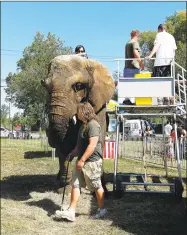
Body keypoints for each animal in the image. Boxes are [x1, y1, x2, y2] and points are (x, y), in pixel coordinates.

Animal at [41, 55, 114, 193]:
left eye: (79, 86)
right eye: (45, 87)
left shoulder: (99, 105)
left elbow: (99, 139)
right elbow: (65, 143)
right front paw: (64, 188)